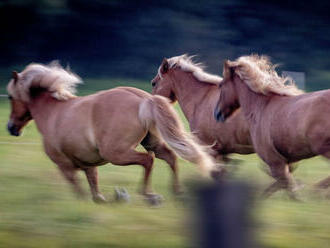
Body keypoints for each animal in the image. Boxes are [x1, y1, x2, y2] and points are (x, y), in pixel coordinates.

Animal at [6, 61, 217, 202]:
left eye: (9, 97)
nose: (10, 128)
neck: (53, 113)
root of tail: (144, 100)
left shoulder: (64, 165)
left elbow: (79, 190)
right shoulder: (88, 164)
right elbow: (95, 189)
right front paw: (109, 198)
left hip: (116, 153)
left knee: (148, 160)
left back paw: (149, 195)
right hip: (151, 142)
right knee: (170, 157)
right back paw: (177, 192)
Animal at [213, 53, 330, 198]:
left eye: (221, 85)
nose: (217, 113)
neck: (261, 107)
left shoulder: (275, 161)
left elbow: (286, 186)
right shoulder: (287, 161)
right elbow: (281, 185)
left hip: (322, 147)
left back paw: (317, 190)